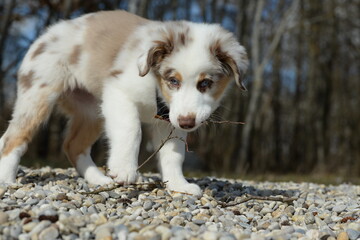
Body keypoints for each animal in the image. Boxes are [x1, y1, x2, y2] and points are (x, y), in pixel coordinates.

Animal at [0, 10, 248, 196]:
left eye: (206, 83)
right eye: (173, 81)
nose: (188, 123)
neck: (155, 86)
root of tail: (48, 33)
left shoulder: (169, 119)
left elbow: (174, 154)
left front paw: (179, 185)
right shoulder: (119, 92)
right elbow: (132, 129)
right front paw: (124, 169)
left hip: (92, 111)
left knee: (73, 146)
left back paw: (99, 179)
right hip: (38, 94)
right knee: (12, 138)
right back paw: (6, 179)